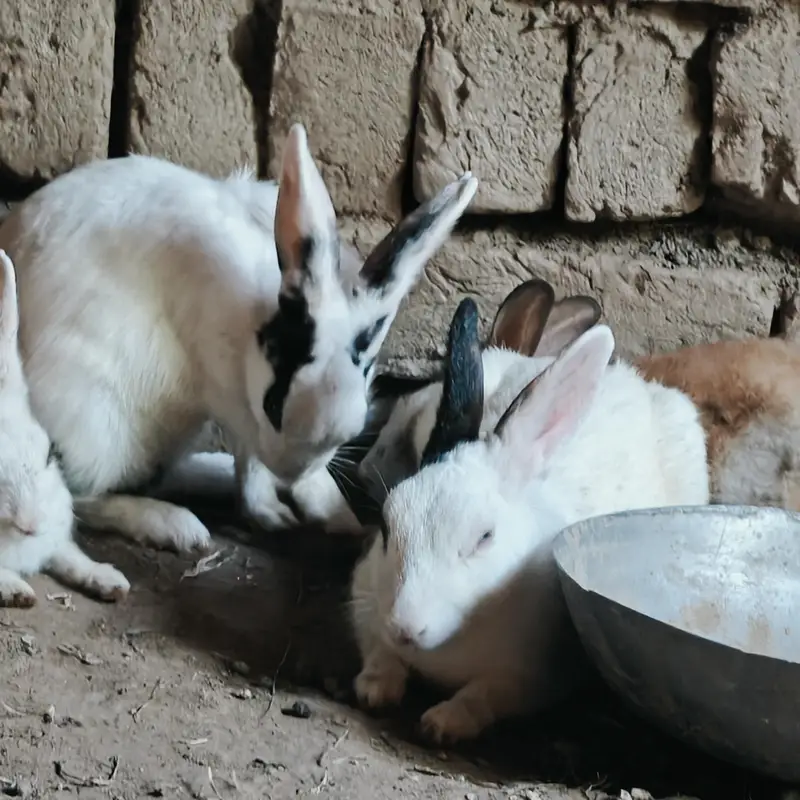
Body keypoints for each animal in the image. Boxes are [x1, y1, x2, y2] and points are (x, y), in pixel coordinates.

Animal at [0, 122, 478, 553]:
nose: (291, 472)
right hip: (93, 424)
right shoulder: (229, 397)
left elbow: (256, 461)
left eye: (355, 424)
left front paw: (334, 517)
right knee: (77, 496)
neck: (249, 321)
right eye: (274, 406)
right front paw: (277, 509)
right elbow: (251, 456)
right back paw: (174, 525)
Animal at [349, 297, 709, 745]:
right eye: (387, 526)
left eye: (485, 536)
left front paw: (443, 723)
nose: (406, 627)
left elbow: (484, 694)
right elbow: (377, 651)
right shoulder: (364, 601)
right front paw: (376, 689)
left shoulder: (536, 676)